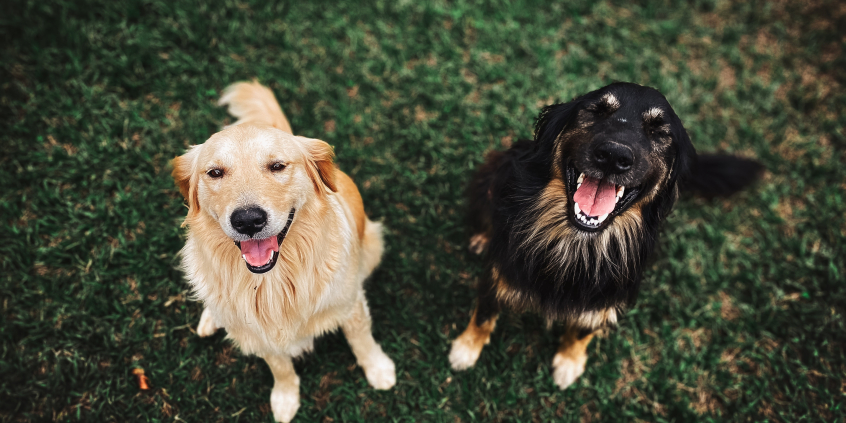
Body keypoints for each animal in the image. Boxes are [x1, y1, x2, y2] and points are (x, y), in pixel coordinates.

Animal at [174, 81, 400, 422]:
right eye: (214, 173)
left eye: (277, 166)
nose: (248, 220)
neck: (273, 282)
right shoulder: (262, 335)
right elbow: (279, 367)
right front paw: (284, 398)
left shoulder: (350, 304)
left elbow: (362, 340)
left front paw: (378, 369)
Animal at [454, 81, 764, 390]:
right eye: (597, 111)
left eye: (658, 131)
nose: (614, 156)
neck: (577, 243)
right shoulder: (500, 270)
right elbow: (484, 314)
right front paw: (465, 350)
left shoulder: (605, 298)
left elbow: (582, 329)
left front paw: (569, 363)